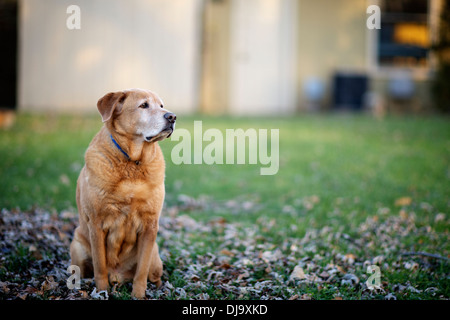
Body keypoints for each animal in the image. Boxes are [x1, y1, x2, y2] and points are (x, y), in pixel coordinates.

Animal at [70, 87, 176, 298]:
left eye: (161, 105)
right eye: (144, 105)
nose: (172, 116)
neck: (132, 163)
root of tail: (118, 277)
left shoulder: (150, 226)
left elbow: (141, 270)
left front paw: (139, 295)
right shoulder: (96, 224)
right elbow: (100, 265)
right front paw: (102, 292)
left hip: (155, 258)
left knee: (154, 275)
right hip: (77, 247)